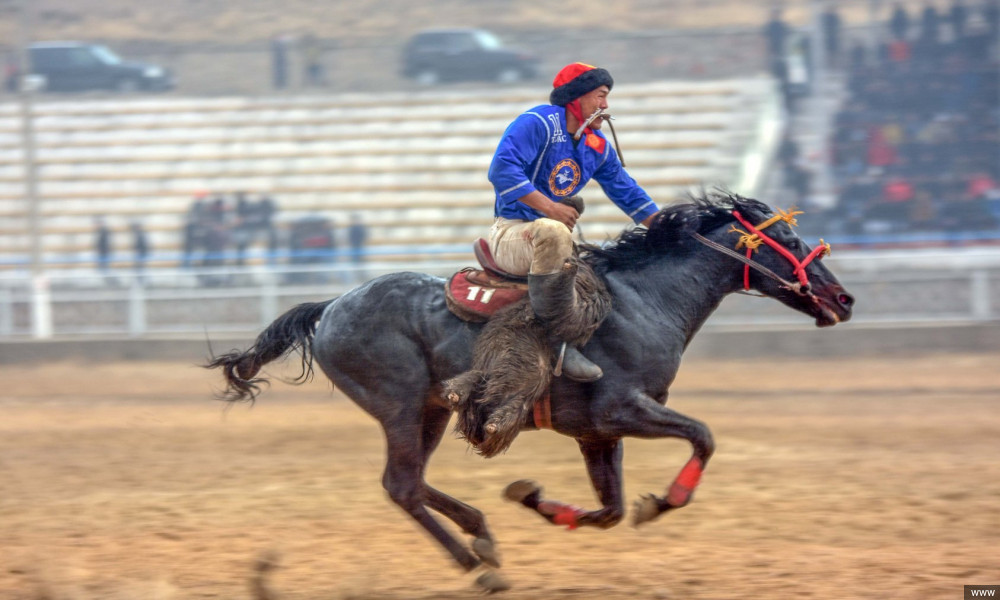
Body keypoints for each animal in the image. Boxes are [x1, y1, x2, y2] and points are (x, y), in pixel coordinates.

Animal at [209, 192, 852, 592]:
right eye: (789, 237)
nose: (843, 299)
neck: (642, 300)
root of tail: (331, 306)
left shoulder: (597, 433)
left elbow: (610, 509)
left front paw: (537, 500)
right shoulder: (623, 409)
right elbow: (703, 437)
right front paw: (665, 500)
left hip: (432, 411)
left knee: (410, 482)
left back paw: (482, 536)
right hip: (401, 406)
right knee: (402, 485)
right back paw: (478, 566)